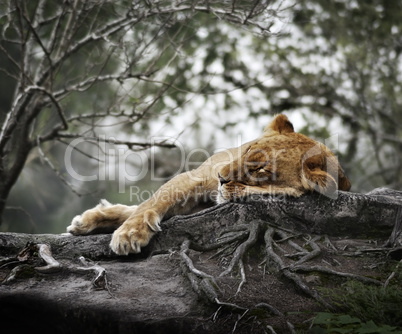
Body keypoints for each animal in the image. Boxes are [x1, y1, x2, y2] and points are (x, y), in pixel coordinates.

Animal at [67, 113, 350, 254]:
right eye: (248, 148)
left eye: (260, 169)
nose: (221, 177)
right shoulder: (193, 178)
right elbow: (150, 204)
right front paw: (129, 235)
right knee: (137, 207)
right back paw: (86, 222)